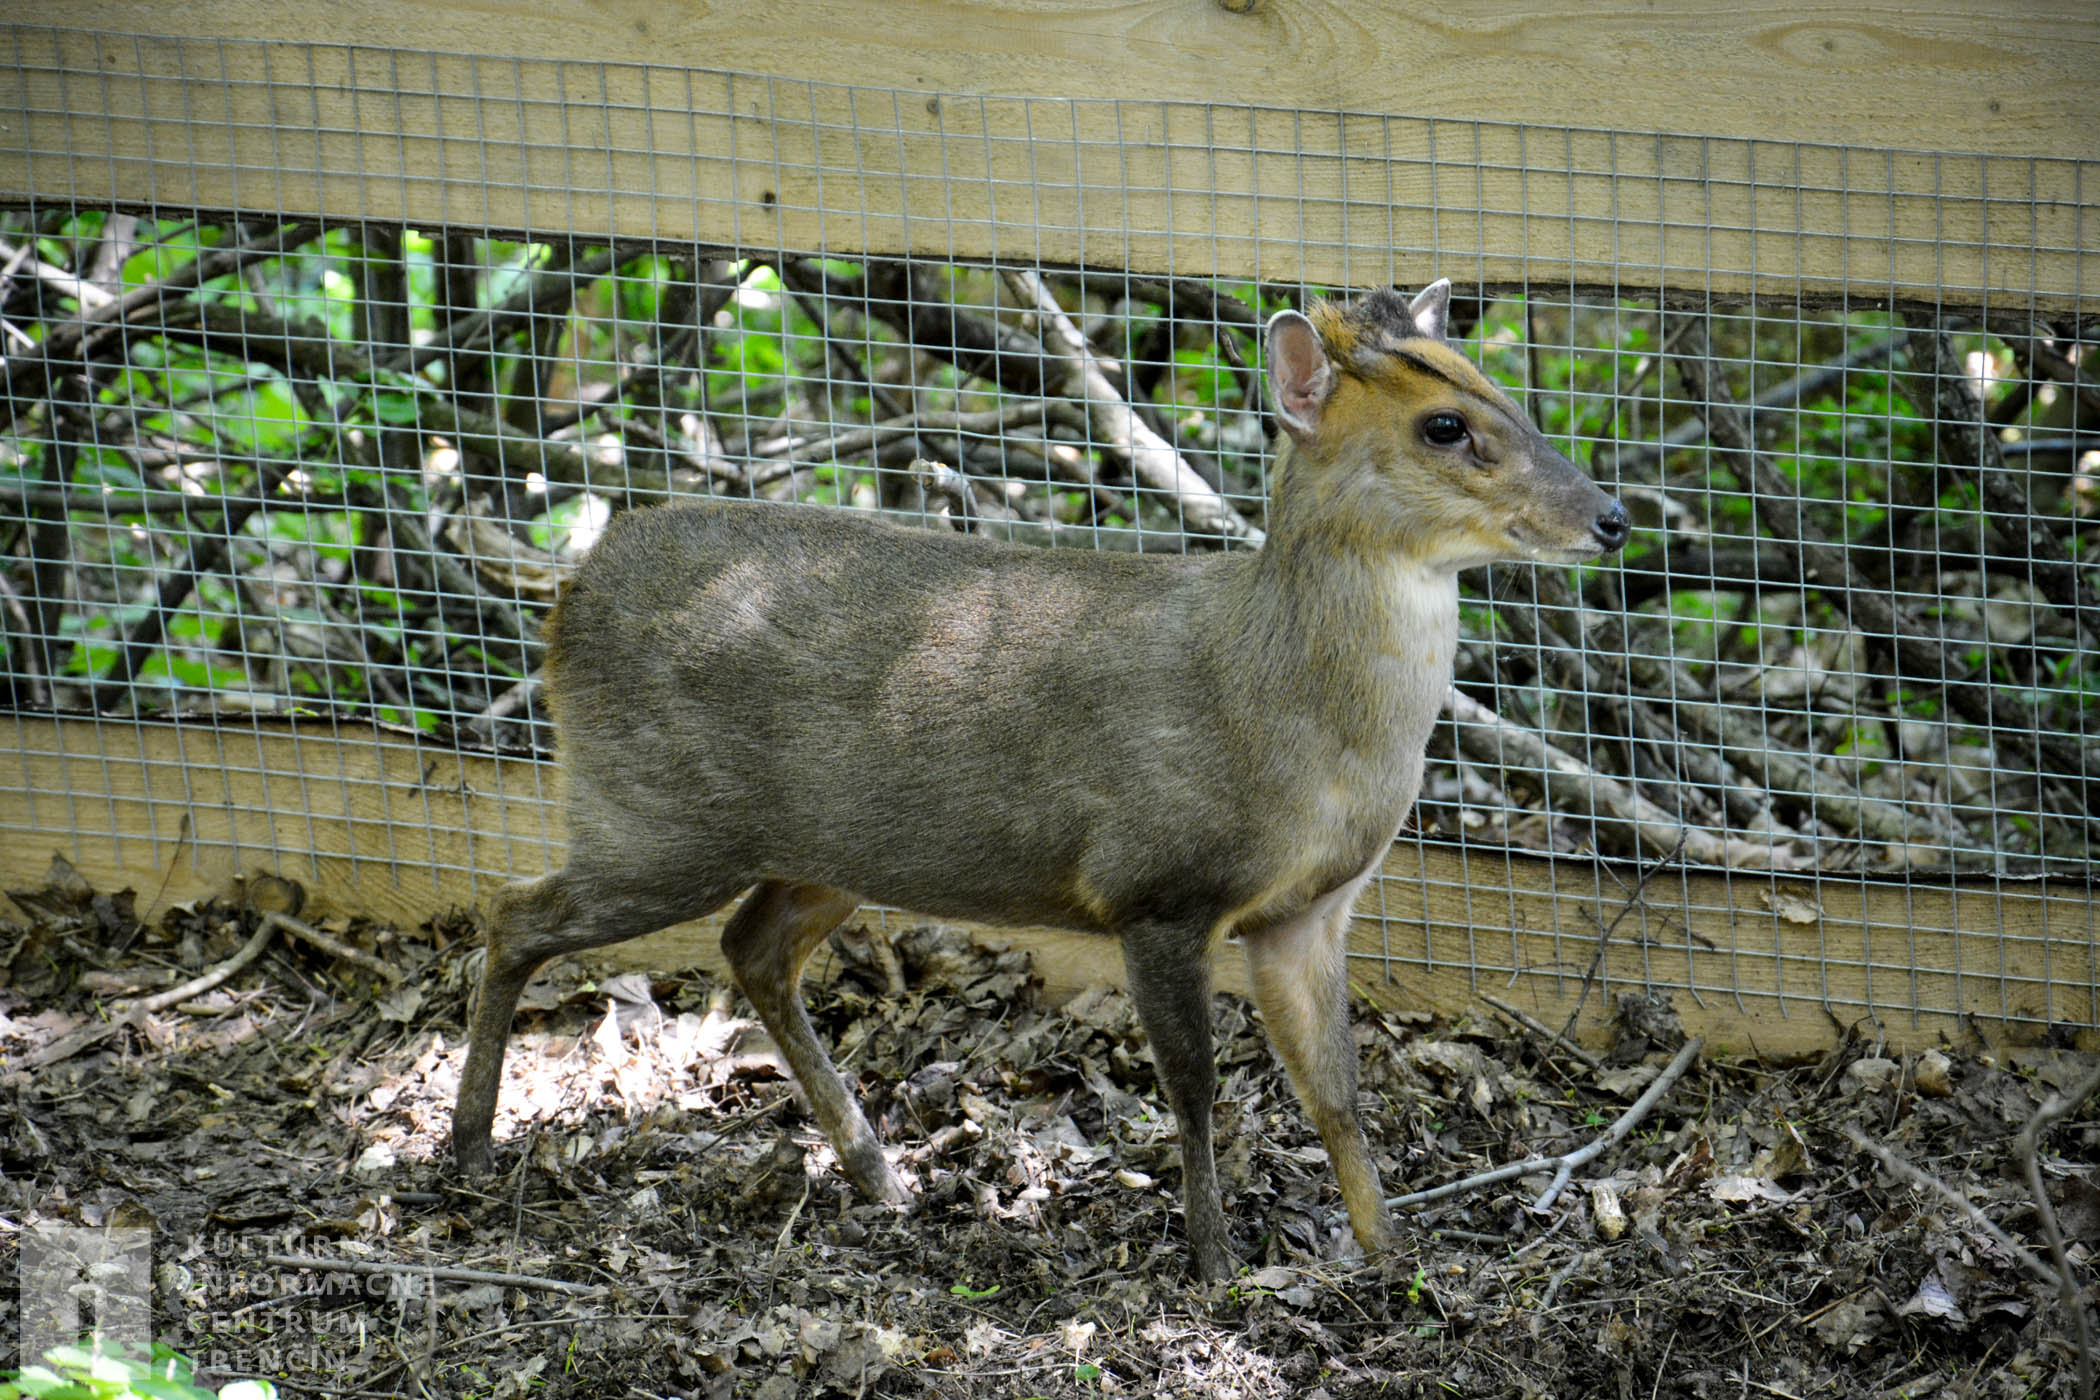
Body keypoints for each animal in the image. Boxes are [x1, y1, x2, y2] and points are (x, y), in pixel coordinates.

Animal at [451, 279, 1629, 1281]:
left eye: (1506, 396)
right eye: (1445, 427)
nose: (1612, 516)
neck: (1285, 712)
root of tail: (569, 586)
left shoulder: (1306, 912)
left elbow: (1336, 1091)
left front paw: (1391, 1255)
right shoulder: (1156, 887)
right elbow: (1195, 1086)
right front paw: (1217, 1264)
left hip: (827, 846)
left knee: (750, 946)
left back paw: (881, 1173)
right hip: (654, 814)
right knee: (514, 912)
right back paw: (465, 1147)